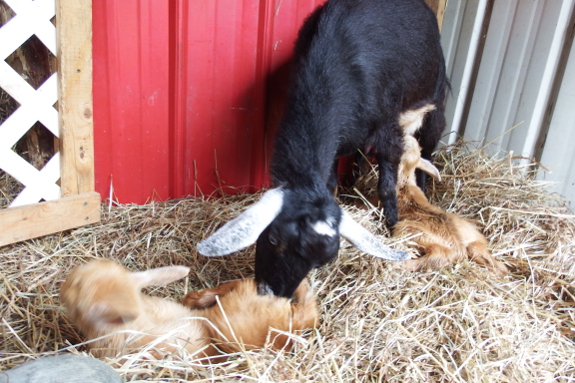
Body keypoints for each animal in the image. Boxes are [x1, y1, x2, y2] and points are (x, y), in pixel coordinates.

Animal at [198, 0, 450, 300]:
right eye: (273, 238)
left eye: (318, 263)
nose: (273, 293)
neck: (332, 69)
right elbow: (331, 182)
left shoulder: (389, 130)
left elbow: (387, 186)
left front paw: (393, 225)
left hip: (434, 104)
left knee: (427, 151)